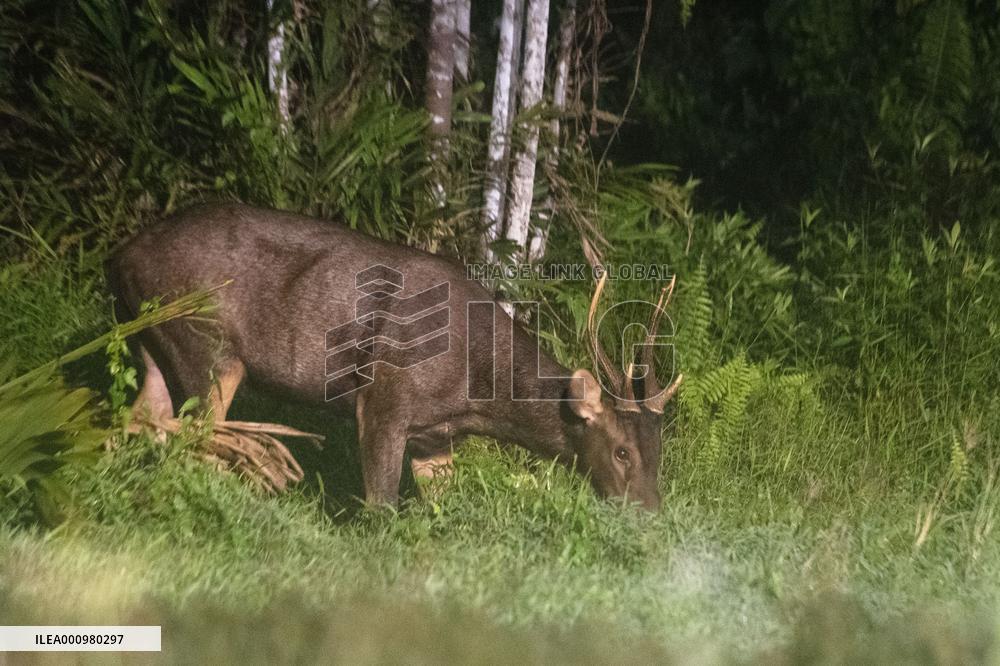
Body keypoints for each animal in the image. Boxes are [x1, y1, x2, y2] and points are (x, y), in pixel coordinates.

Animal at [107, 203, 682, 510]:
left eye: (659, 452)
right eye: (621, 452)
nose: (649, 514)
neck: (475, 391)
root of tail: (119, 256)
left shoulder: (437, 438)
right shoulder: (384, 397)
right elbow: (380, 505)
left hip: (149, 342)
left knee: (140, 419)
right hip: (207, 346)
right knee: (197, 434)